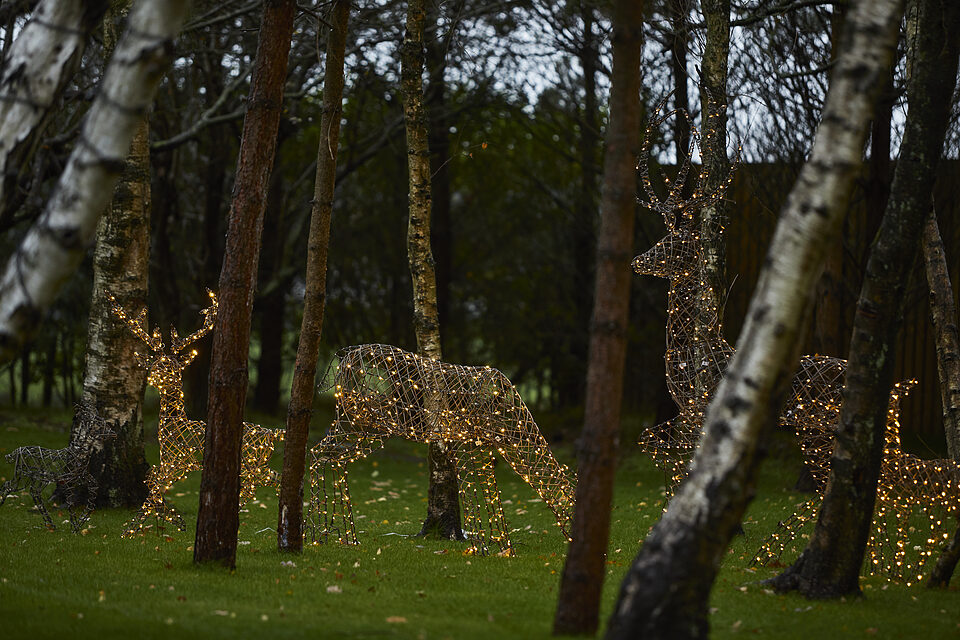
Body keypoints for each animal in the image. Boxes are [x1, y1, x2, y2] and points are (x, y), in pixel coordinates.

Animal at [0, 401, 115, 532]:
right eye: (99, 423)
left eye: (103, 421)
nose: (113, 433)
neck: (78, 453)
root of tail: (14, 452)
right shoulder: (68, 479)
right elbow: (70, 501)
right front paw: (74, 527)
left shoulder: (83, 476)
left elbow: (94, 490)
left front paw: (81, 522)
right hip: (21, 475)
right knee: (8, 485)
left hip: (38, 478)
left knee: (34, 492)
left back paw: (50, 524)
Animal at [110, 291, 284, 535]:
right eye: (156, 364)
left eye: (172, 368)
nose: (152, 378)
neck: (173, 425)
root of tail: (270, 433)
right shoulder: (173, 462)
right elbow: (150, 477)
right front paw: (166, 519)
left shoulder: (180, 461)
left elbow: (154, 479)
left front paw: (141, 524)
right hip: (258, 463)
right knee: (271, 479)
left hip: (252, 462)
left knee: (260, 483)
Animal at [307, 343, 576, 555]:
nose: (573, 539)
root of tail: (344, 358)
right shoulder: (463, 444)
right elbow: (473, 491)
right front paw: (482, 549)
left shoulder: (480, 446)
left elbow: (490, 490)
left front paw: (504, 548)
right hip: (366, 424)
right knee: (320, 454)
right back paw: (319, 534)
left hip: (357, 425)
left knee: (328, 457)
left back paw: (338, 537)